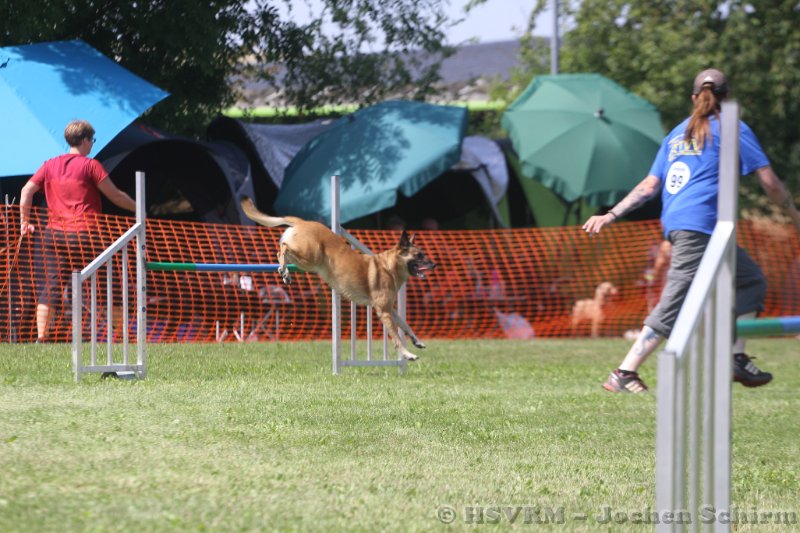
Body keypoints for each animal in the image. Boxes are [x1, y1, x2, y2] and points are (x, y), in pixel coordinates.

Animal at [240, 198, 436, 360]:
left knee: (283, 250)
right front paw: (407, 354)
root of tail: (303, 222)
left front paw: (417, 341)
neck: (389, 267)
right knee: (283, 247)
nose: (434, 265)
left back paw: (285, 271)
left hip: (307, 262)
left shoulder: (389, 309)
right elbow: (396, 337)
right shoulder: (384, 311)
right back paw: (283, 268)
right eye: (419, 255)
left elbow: (406, 325)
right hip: (311, 257)